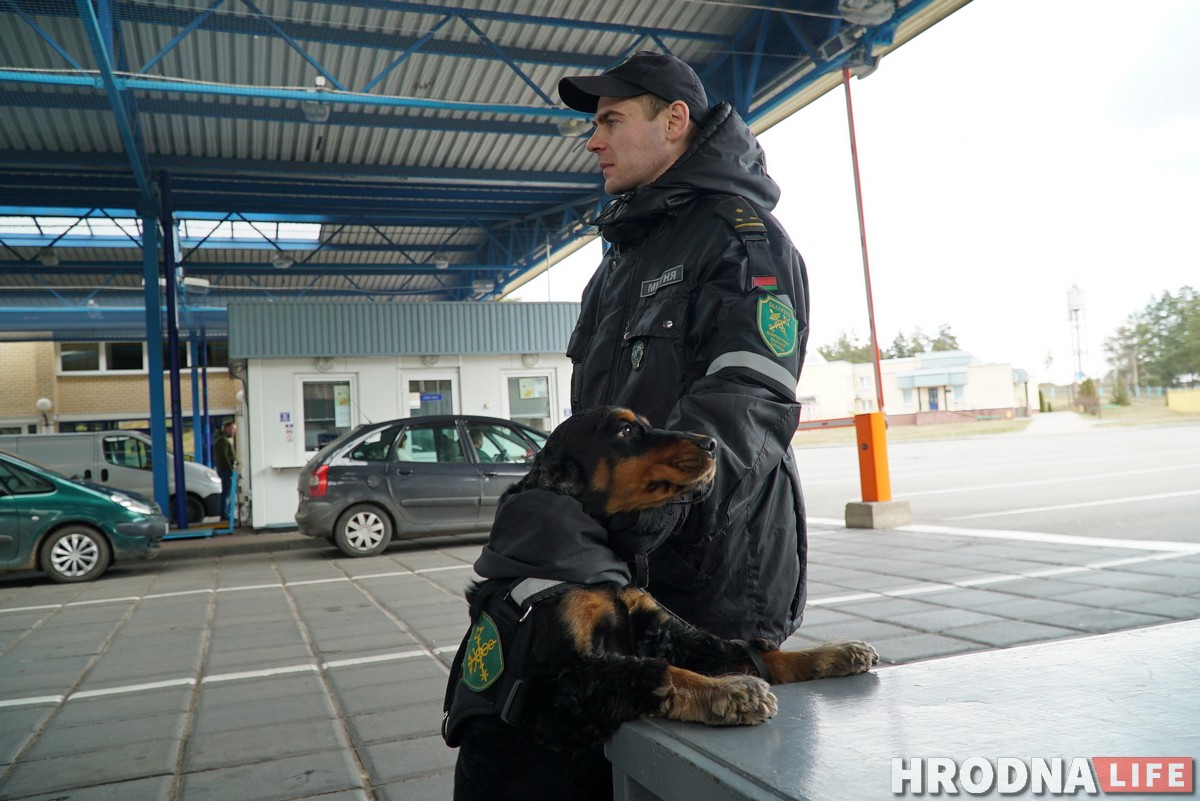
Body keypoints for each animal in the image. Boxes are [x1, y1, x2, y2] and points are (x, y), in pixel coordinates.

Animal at [446, 410, 878, 796]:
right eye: (624, 431)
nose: (712, 444)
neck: (592, 560)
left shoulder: (661, 630)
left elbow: (750, 652)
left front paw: (836, 653)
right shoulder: (551, 691)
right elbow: (654, 671)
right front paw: (730, 692)